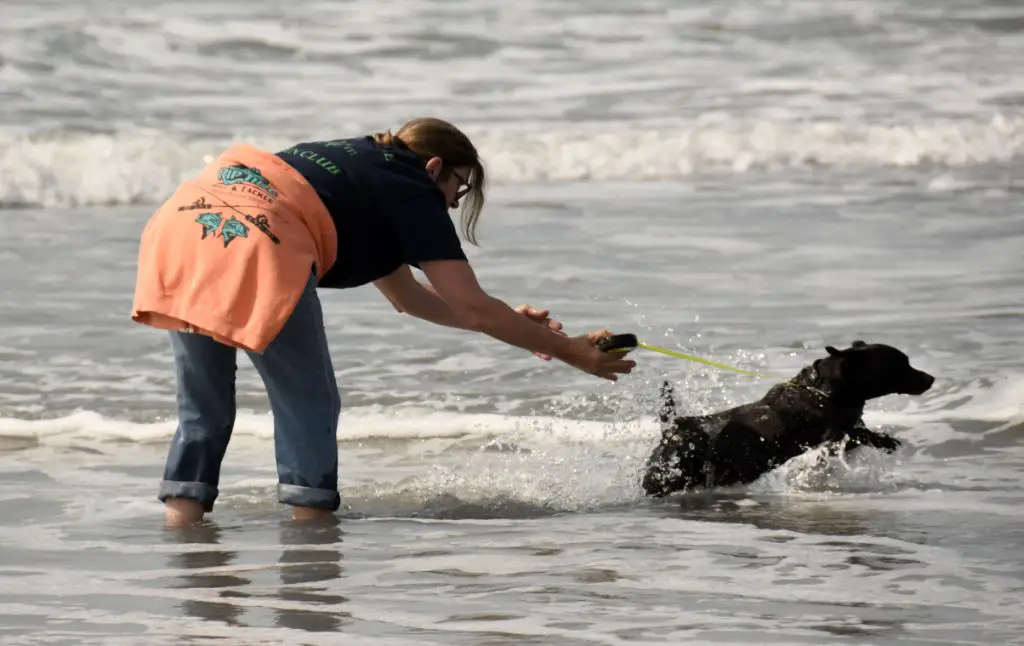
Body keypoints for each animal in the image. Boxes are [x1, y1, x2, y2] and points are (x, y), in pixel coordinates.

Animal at [643, 341, 933, 497]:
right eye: (900, 365)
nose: (930, 378)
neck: (825, 390)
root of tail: (671, 428)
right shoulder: (834, 435)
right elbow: (861, 434)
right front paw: (888, 441)